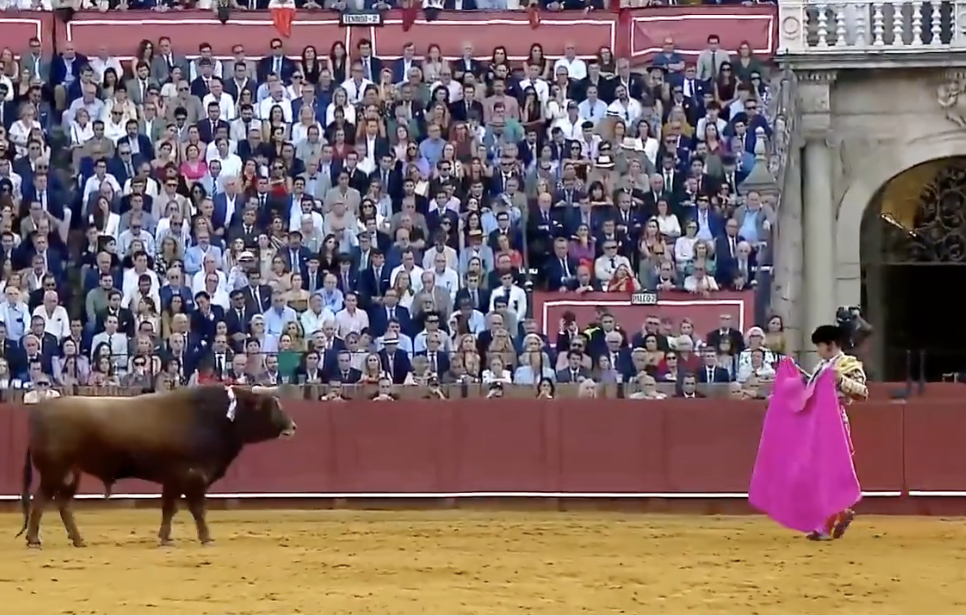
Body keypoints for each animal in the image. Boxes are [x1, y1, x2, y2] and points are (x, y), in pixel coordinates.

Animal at [15, 385, 296, 549]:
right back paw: (34, 540)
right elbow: (197, 508)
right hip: (53, 471)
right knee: (41, 501)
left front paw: (166, 538)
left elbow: (169, 508)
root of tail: (40, 411)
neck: (217, 417)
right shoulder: (193, 476)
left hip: (70, 473)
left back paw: (78, 540)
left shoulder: (173, 479)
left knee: (63, 504)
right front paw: (206, 538)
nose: (292, 426)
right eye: (270, 406)